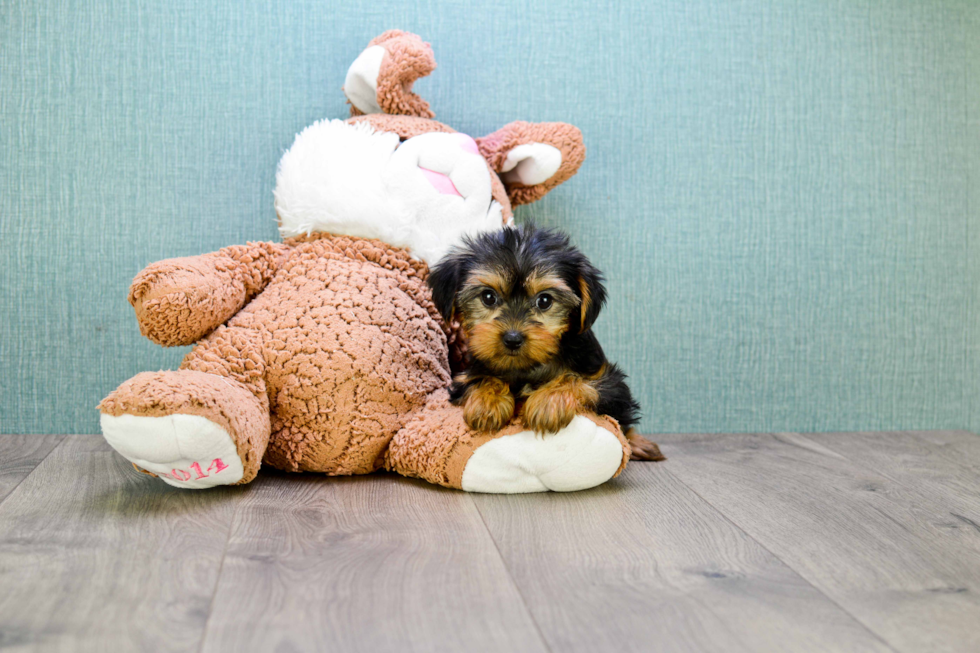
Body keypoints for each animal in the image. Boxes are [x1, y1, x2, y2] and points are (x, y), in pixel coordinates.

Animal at [426, 224, 664, 458]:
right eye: (488, 297)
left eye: (545, 301)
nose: (512, 338)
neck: (528, 367)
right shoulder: (465, 375)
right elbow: (480, 377)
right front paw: (487, 402)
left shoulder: (611, 383)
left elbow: (577, 379)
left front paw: (548, 402)